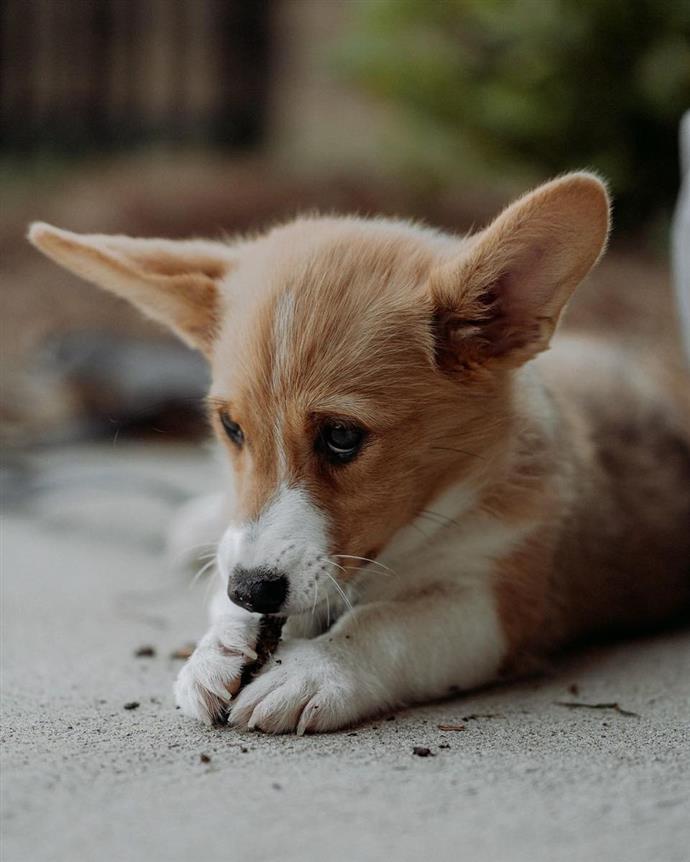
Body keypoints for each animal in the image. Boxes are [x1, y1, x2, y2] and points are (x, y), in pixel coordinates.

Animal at [28, 174, 688, 736]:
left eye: (343, 436)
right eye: (231, 427)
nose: (252, 590)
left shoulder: (497, 601)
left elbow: (389, 626)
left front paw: (315, 669)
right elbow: (230, 572)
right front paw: (218, 646)